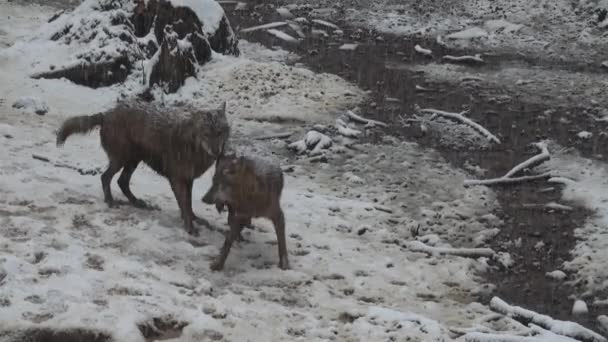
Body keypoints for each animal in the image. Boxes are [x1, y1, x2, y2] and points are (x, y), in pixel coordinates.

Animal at [55, 101, 230, 235]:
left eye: (219, 132)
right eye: (206, 134)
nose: (216, 151)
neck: (193, 146)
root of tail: (106, 115)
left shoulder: (188, 179)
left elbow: (189, 204)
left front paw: (194, 219)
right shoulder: (178, 179)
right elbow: (185, 204)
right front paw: (190, 227)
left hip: (133, 161)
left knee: (122, 181)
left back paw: (137, 202)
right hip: (121, 160)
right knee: (105, 177)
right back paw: (110, 201)